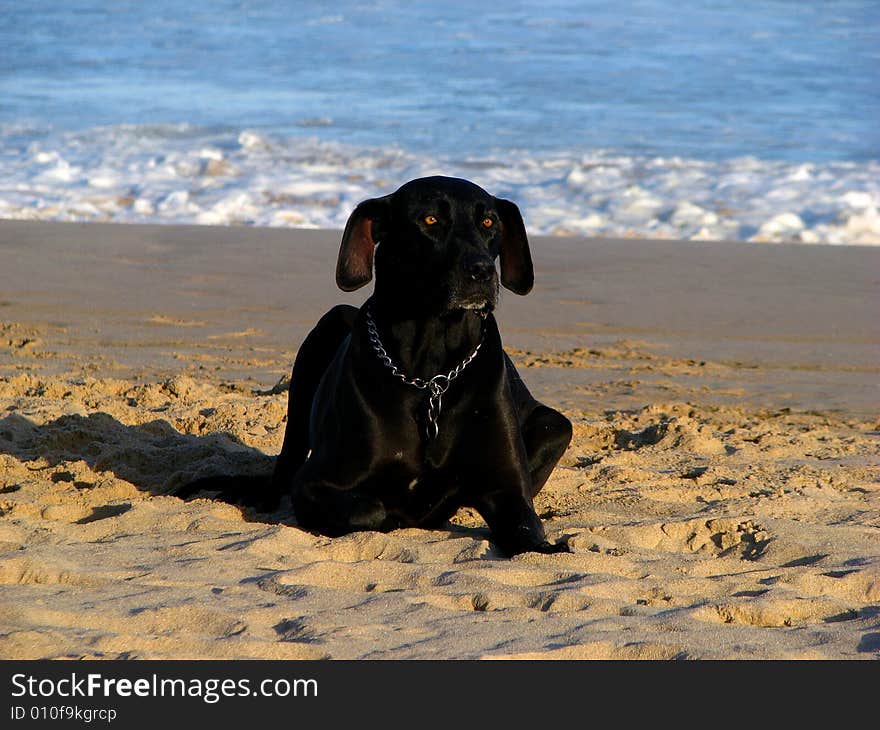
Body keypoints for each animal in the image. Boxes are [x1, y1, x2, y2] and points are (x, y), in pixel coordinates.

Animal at [182, 175, 576, 552]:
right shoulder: (315, 482)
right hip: (322, 336)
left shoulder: (508, 492)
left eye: (489, 222)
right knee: (286, 464)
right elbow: (368, 509)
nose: (481, 271)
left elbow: (527, 533)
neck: (431, 374)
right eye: (430, 220)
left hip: (555, 425)